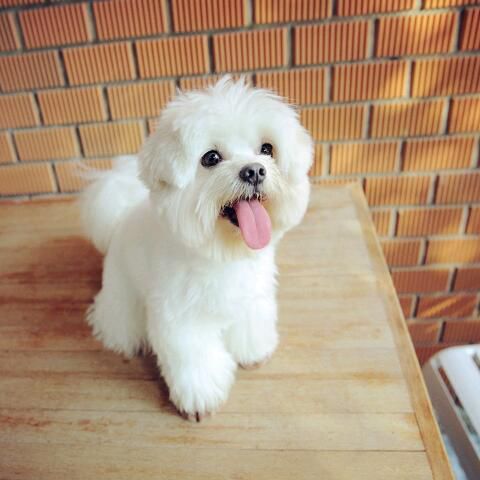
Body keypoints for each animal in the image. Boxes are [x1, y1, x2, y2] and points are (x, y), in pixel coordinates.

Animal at [81, 77, 313, 420]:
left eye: (267, 149)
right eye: (211, 158)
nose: (254, 170)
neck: (223, 253)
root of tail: (122, 212)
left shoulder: (252, 298)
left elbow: (251, 324)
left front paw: (253, 351)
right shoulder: (183, 321)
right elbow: (196, 360)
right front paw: (201, 398)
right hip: (121, 288)